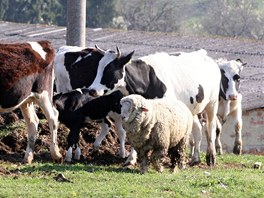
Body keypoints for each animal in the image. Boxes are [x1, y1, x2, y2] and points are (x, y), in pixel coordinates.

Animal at [87, 46, 222, 166]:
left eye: (109, 69)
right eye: (98, 68)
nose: (92, 90)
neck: (147, 81)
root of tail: (204, 54)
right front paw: (131, 159)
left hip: (212, 103)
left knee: (210, 128)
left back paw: (211, 157)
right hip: (191, 109)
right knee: (198, 129)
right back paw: (195, 159)